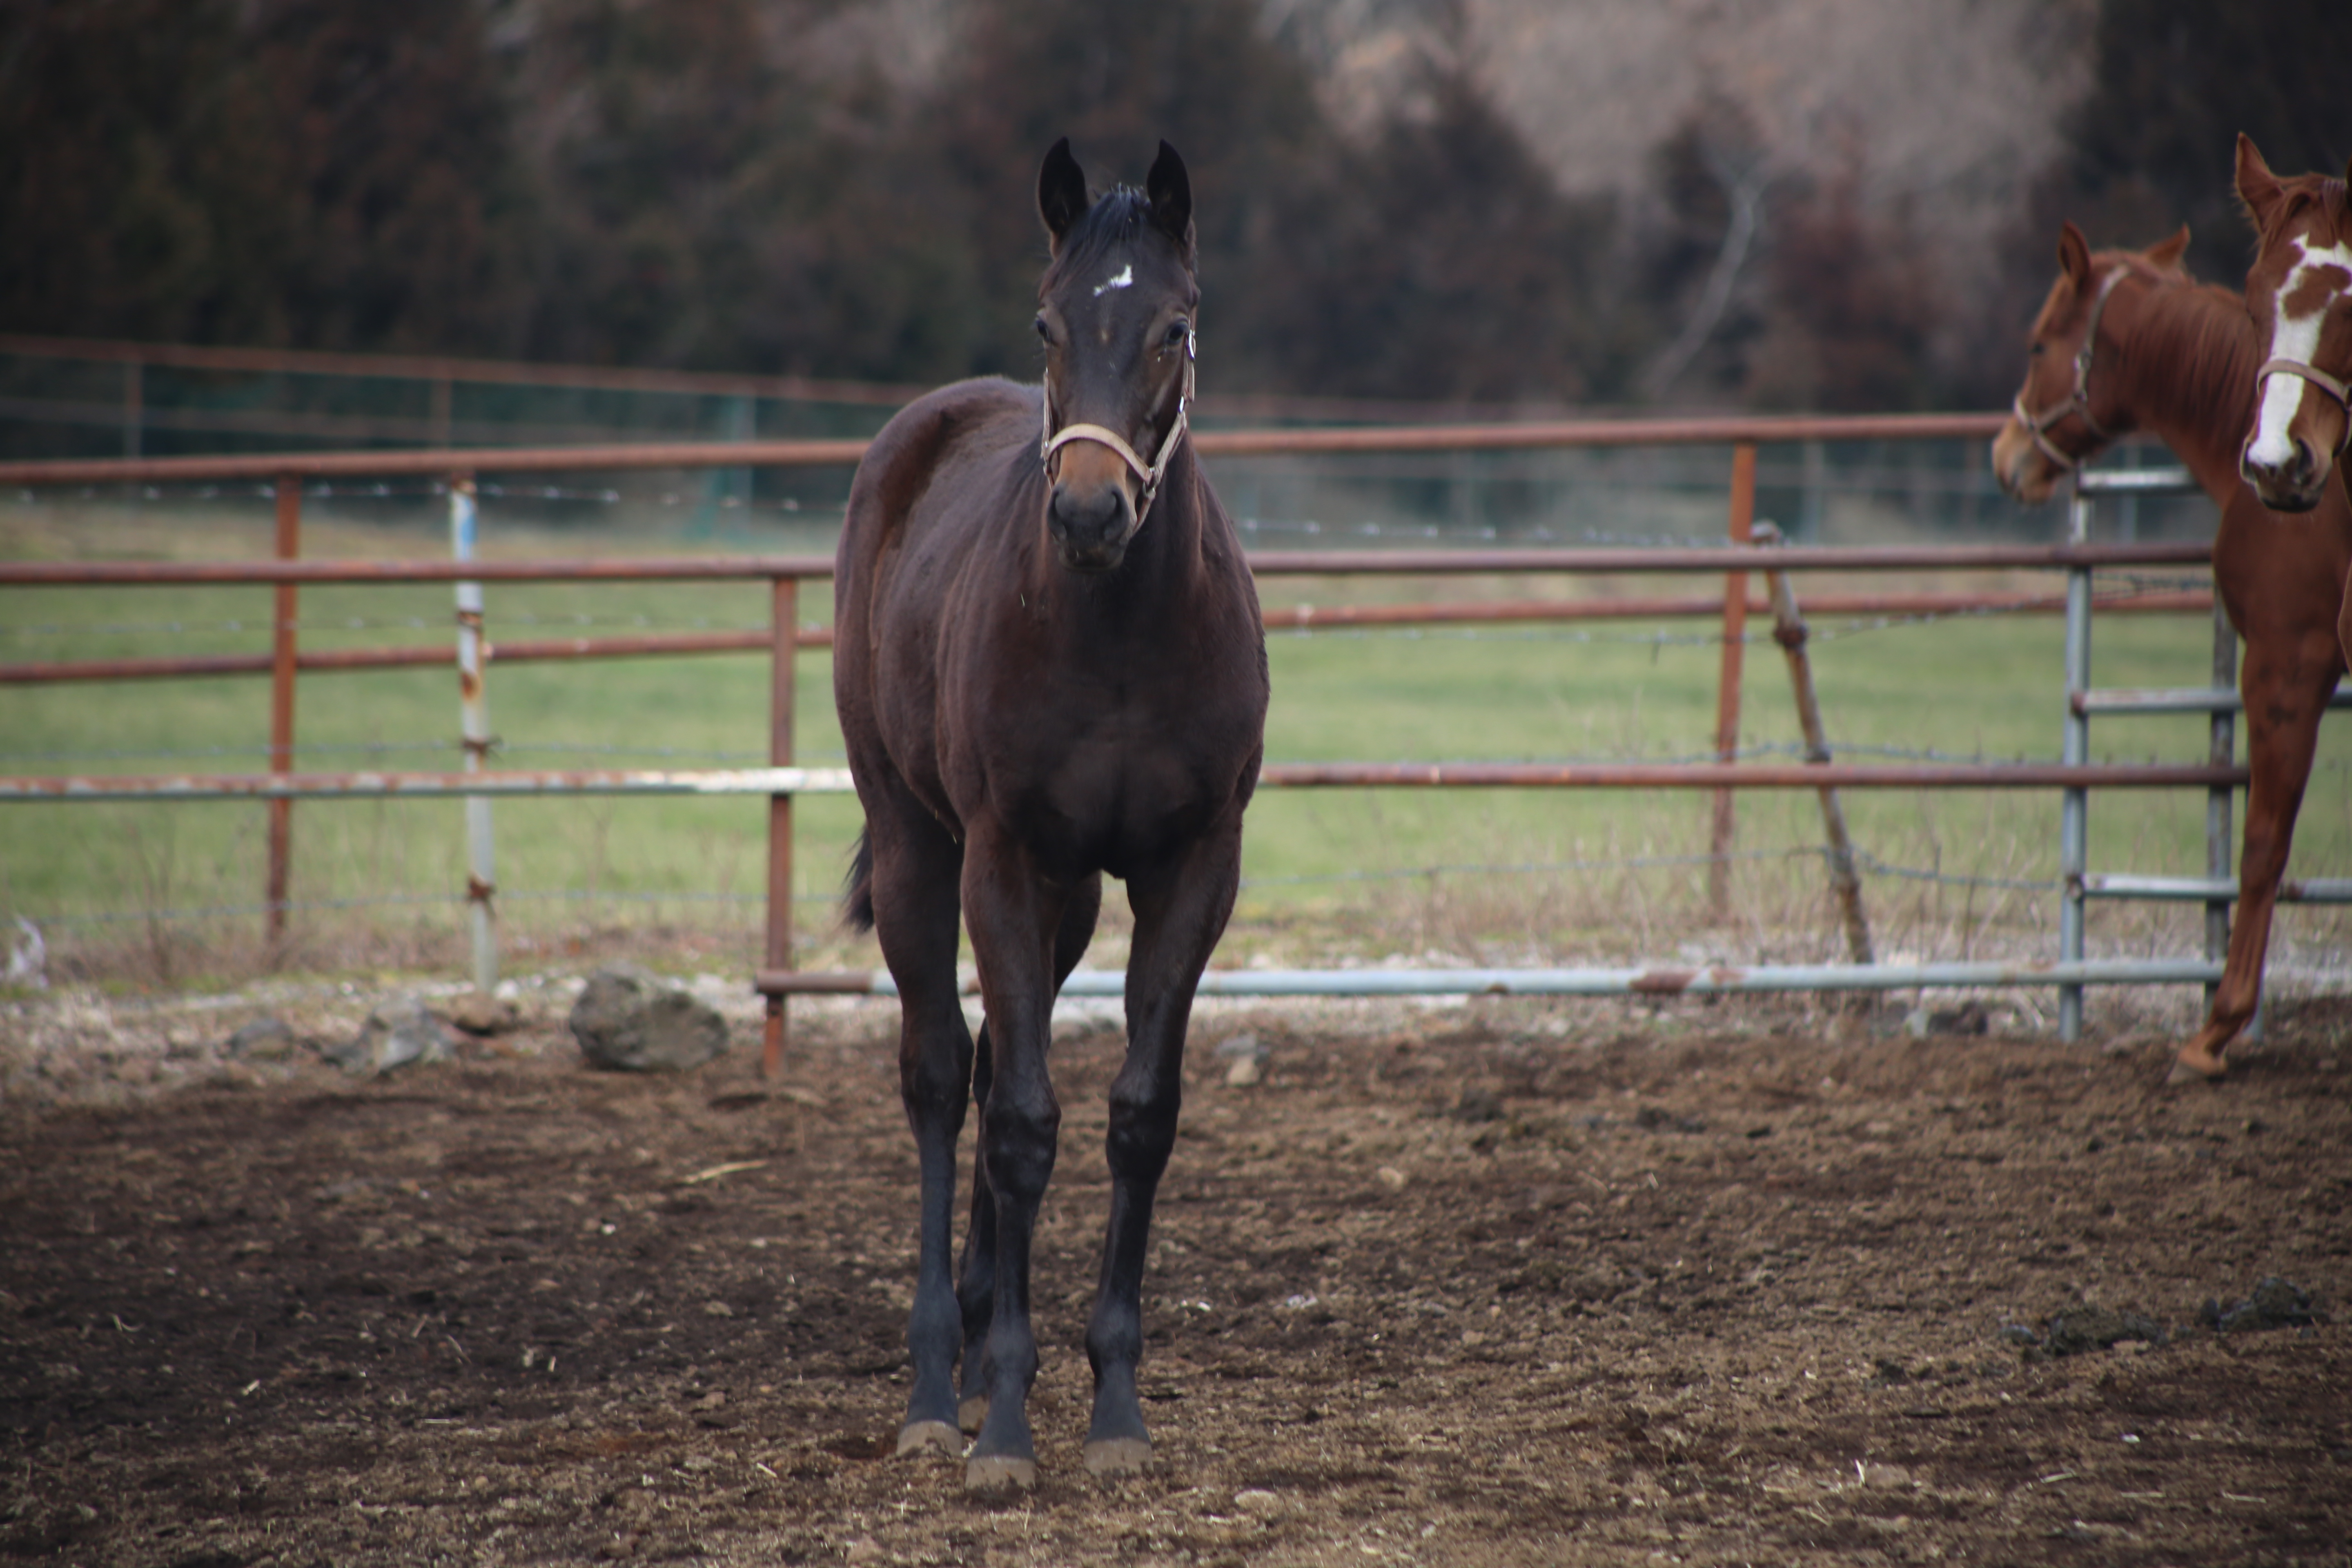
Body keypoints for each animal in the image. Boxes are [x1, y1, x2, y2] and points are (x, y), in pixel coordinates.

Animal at [833, 141, 1270, 1495]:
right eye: (1048, 323)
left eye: (1177, 326)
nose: (1086, 515)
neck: (1118, 632)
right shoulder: (1001, 856)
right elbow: (1025, 1123)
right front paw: (1009, 1434)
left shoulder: (1193, 868)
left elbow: (1139, 1117)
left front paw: (1114, 1410)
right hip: (923, 852)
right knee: (939, 1075)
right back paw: (941, 1380)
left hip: (1068, 898)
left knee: (979, 1063)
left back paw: (977, 1347)